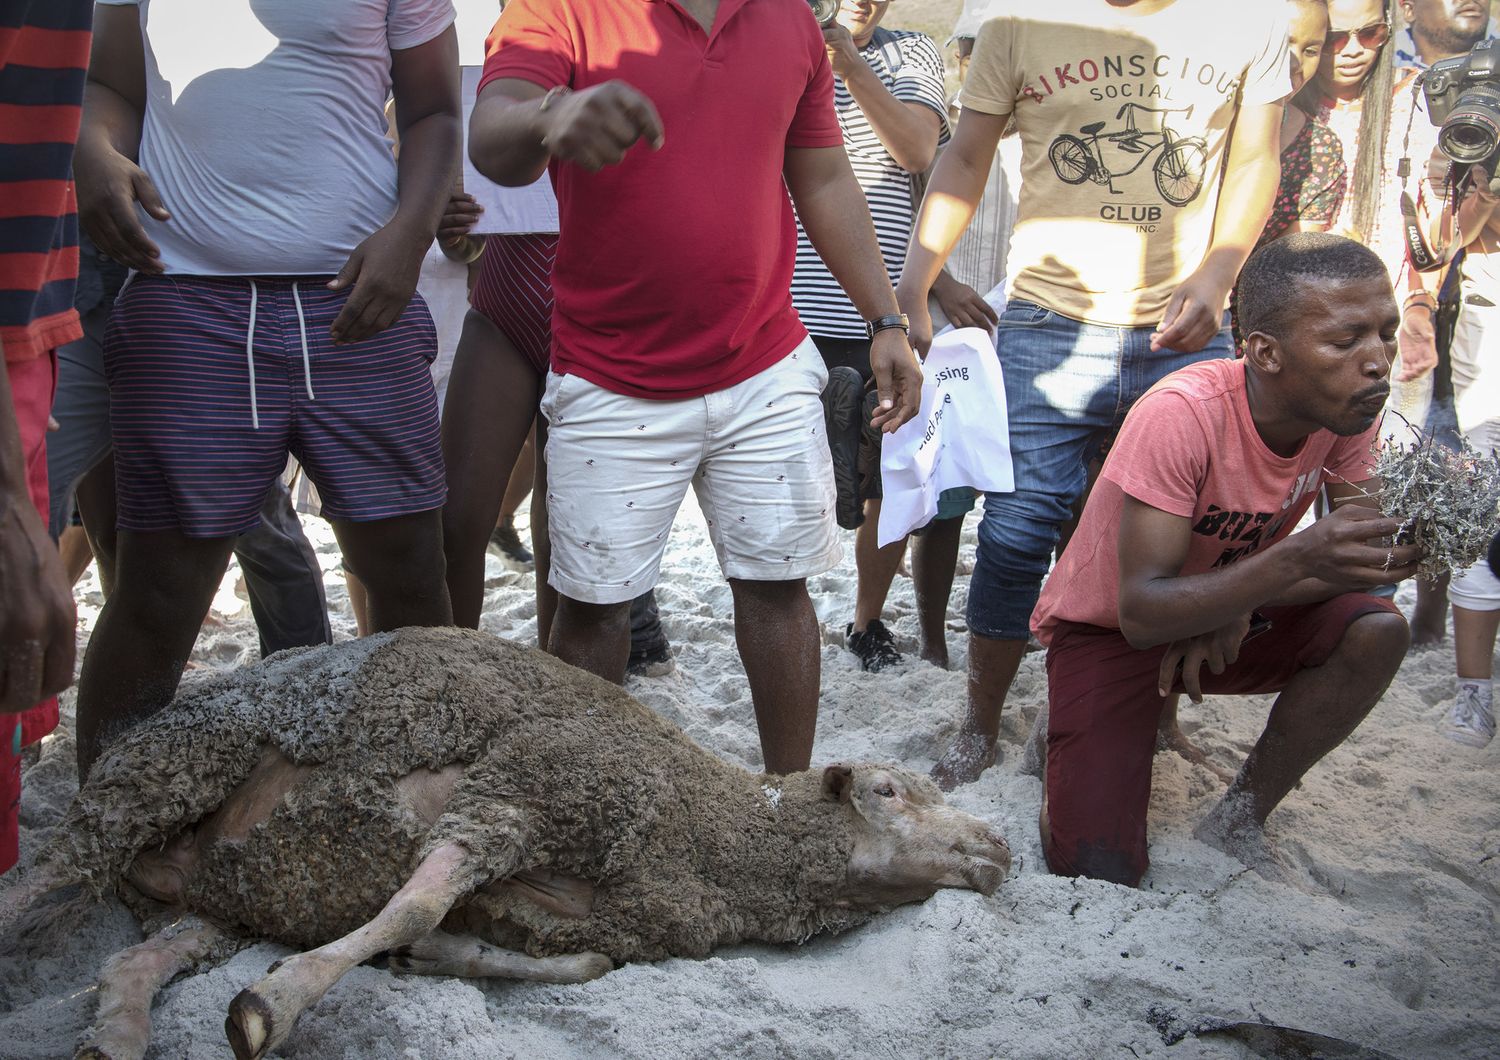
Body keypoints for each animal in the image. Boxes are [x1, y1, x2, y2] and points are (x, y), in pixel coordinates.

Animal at [2, 629, 1008, 1060]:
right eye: (886, 791)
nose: (999, 847)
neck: (709, 833)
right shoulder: (521, 791)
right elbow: (415, 900)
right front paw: (274, 1004)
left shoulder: (575, 910)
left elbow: (581, 965)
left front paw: (426, 964)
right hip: (158, 775)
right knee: (32, 886)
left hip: (215, 899)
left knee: (130, 963)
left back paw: (115, 1035)